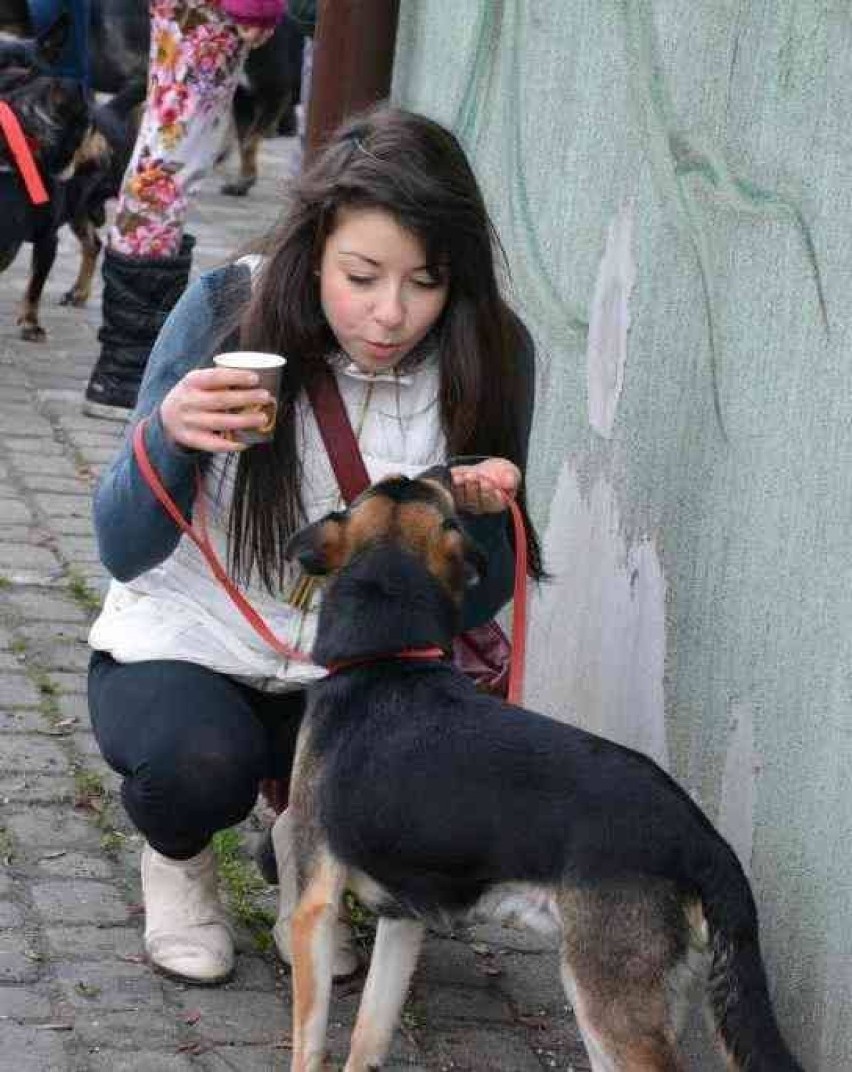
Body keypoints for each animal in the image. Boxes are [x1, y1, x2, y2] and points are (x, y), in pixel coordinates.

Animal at [280, 473, 805, 1072]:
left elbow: (310, 1041)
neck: (391, 656)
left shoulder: (315, 904)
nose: (444, 471)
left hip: (606, 998)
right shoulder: (403, 917)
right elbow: (368, 1035)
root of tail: (705, 842)